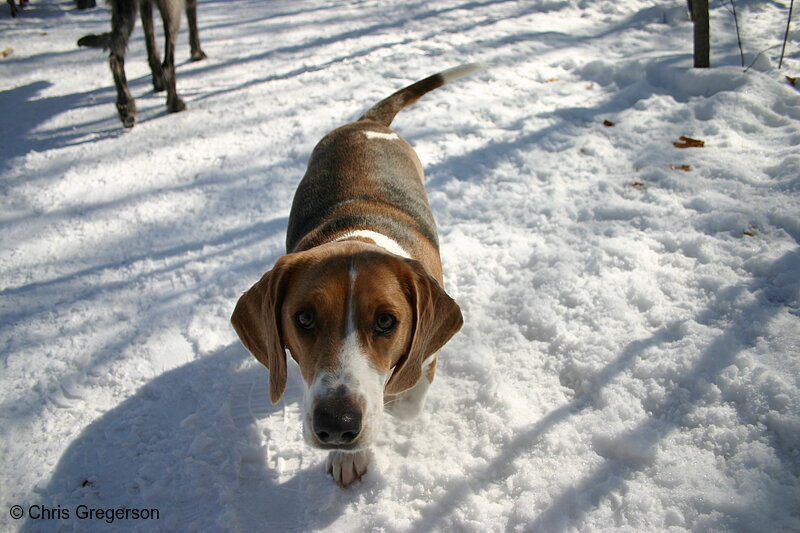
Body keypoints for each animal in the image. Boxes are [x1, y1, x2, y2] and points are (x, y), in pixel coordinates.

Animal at [78, 0, 206, 128]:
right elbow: (192, 15)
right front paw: (197, 52)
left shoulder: (144, 6)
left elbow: (151, 47)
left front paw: (158, 83)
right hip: (171, 10)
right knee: (167, 63)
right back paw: (174, 103)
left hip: (122, 11)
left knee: (115, 57)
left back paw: (126, 109)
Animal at [231, 63, 482, 486]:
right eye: (304, 319)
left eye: (385, 321)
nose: (336, 425)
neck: (357, 233)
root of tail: (367, 123)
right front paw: (349, 457)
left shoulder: (427, 355)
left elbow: (406, 397)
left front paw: (389, 403)